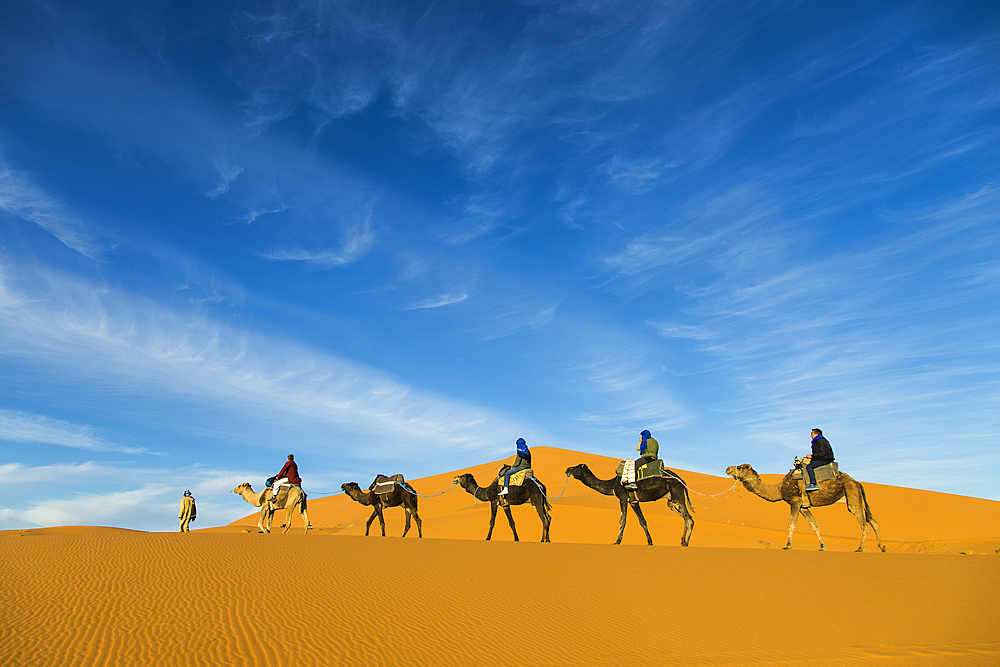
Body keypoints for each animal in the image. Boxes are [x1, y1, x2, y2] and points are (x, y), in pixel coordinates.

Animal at [728, 464, 884, 552]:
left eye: (740, 467)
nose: (728, 469)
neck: (779, 489)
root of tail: (857, 482)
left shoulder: (795, 501)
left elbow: (791, 524)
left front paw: (788, 546)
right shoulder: (804, 506)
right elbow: (815, 525)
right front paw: (823, 547)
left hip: (852, 494)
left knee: (864, 523)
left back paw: (860, 548)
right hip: (856, 496)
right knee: (873, 521)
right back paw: (882, 547)